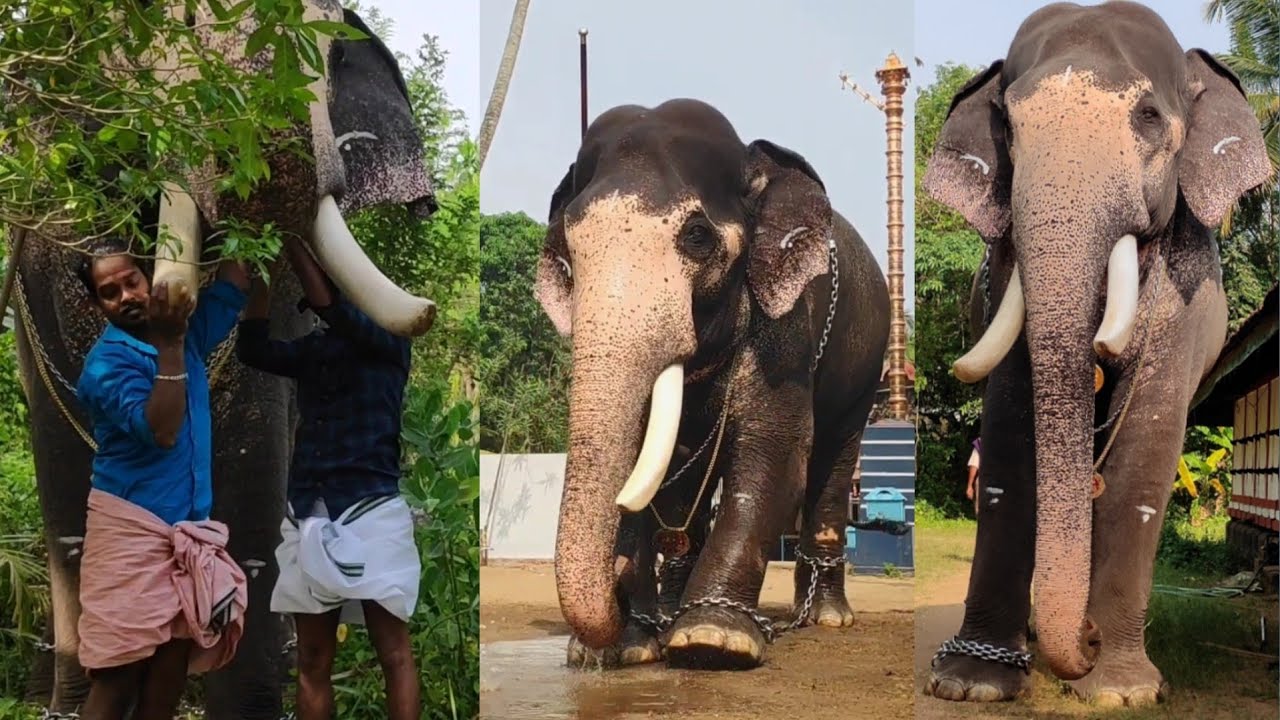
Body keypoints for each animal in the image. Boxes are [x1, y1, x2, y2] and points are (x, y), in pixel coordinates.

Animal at [533, 98, 891, 670]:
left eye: (697, 236)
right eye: (569, 248)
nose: (618, 584)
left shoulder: (786, 329)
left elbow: (775, 455)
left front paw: (713, 641)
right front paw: (627, 648)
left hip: (866, 362)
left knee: (834, 456)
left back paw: (826, 617)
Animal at [920, 1, 1271, 706]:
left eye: (1149, 117)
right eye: (1008, 125)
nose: (1085, 642)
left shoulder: (1186, 293)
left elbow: (1146, 450)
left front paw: (1121, 691)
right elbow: (1010, 429)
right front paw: (972, 684)